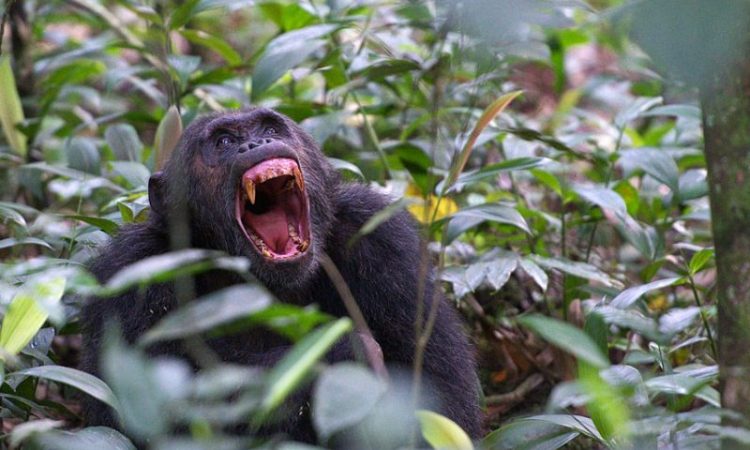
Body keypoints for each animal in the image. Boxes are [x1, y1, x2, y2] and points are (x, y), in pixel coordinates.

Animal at [80, 107, 482, 443]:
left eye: (271, 128)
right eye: (223, 142)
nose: (256, 143)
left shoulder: (384, 242)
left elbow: (442, 392)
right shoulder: (131, 274)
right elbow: (147, 415)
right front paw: (346, 351)